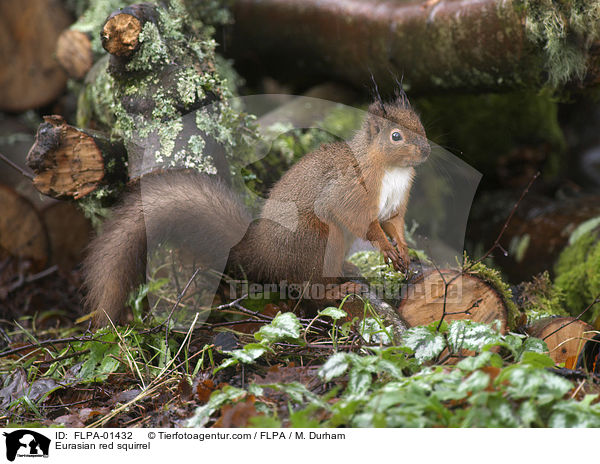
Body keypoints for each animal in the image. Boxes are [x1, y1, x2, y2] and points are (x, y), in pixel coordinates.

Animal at [85, 92, 432, 326]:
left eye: (421, 125)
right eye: (396, 136)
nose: (427, 151)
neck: (391, 169)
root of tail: (264, 253)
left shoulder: (394, 206)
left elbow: (394, 224)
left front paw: (402, 250)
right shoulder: (347, 189)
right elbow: (361, 221)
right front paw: (385, 248)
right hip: (315, 240)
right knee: (309, 289)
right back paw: (338, 289)